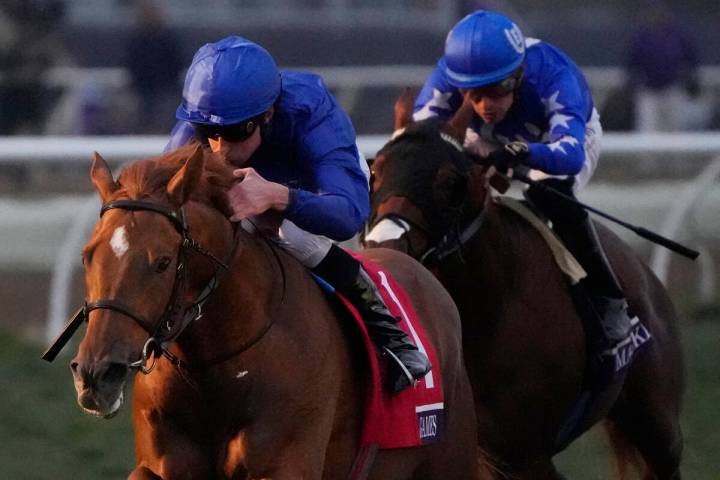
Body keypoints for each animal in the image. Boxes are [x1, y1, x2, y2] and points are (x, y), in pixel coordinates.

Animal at [66, 145, 478, 480]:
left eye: (163, 262)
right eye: (87, 255)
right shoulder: (158, 465)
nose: (96, 374)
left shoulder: (285, 465)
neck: (216, 373)